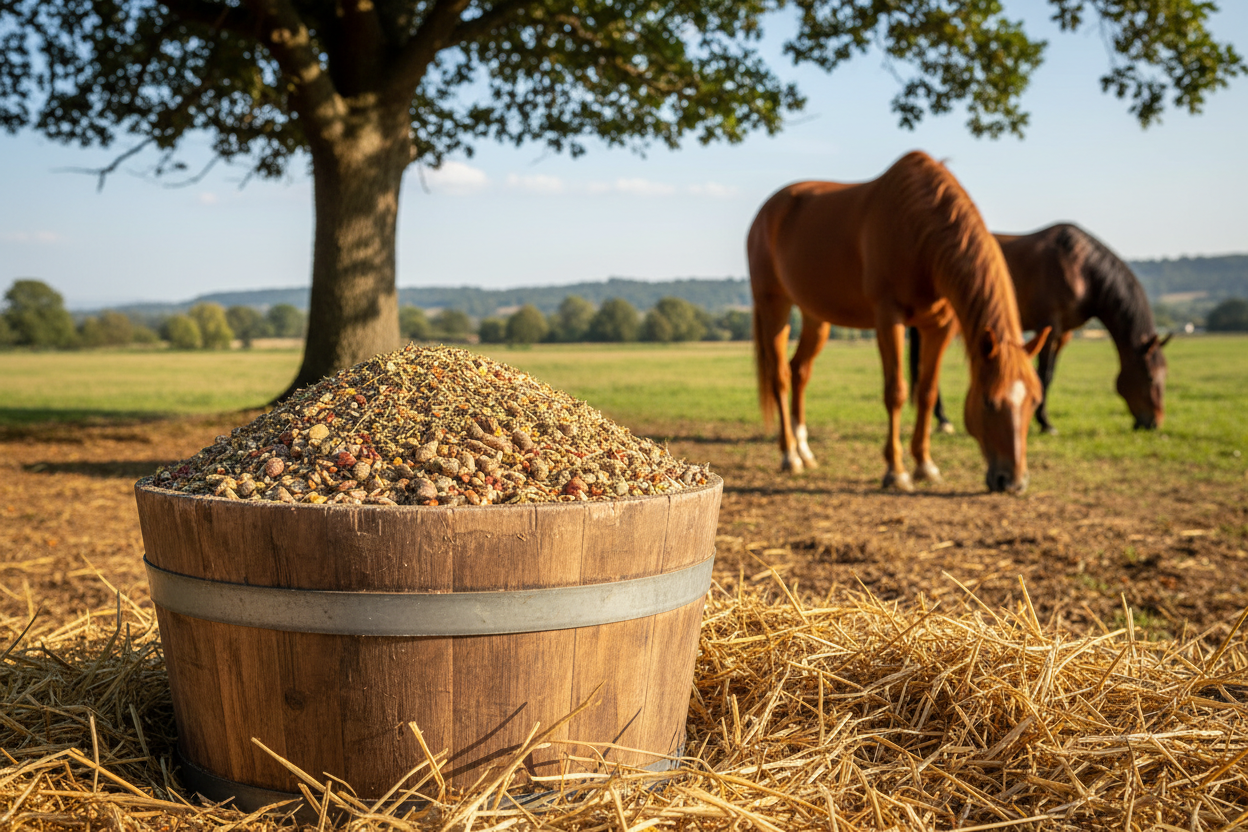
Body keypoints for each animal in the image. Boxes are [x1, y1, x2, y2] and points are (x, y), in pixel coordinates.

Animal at [748, 151, 1050, 494]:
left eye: (1035, 400)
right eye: (988, 402)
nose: (1013, 482)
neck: (918, 230)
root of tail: (766, 212)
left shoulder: (939, 326)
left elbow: (927, 392)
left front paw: (925, 465)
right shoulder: (888, 318)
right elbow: (896, 392)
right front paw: (896, 471)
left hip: (815, 316)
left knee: (799, 371)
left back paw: (804, 450)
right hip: (774, 305)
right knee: (780, 376)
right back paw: (789, 455)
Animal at [910, 223, 1170, 434]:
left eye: (1164, 374)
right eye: (1149, 376)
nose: (1154, 423)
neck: (1080, 269)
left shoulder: (1063, 334)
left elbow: (1049, 374)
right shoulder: (1049, 326)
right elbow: (1043, 374)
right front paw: (1044, 423)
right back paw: (942, 420)